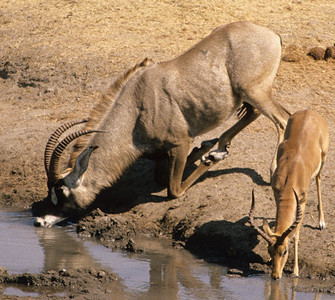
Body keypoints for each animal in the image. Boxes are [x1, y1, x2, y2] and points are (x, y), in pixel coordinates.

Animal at [33, 20, 292, 227]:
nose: (40, 221)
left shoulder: (180, 142)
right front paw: (206, 149)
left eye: (62, 191)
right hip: (250, 95)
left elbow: (173, 190)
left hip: (255, 92)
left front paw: (210, 158)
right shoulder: (162, 153)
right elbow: (162, 176)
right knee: (257, 114)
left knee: (282, 119)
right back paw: (218, 144)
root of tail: (272, 34)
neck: (136, 107)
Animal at [251, 109, 330, 278]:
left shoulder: (302, 200)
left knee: (319, 179)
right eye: (270, 250)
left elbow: (296, 234)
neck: (291, 172)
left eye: (284, 251)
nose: (275, 276)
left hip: (323, 158)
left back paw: (321, 222)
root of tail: (309, 111)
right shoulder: (277, 194)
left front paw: (295, 271)